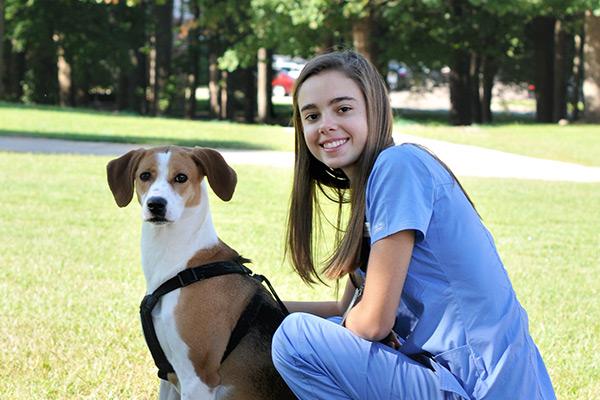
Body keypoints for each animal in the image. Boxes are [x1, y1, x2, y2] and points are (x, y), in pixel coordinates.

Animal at [108, 147, 298, 400]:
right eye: (145, 175)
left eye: (181, 177)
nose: (156, 204)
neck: (183, 266)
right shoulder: (169, 376)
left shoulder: (198, 378)